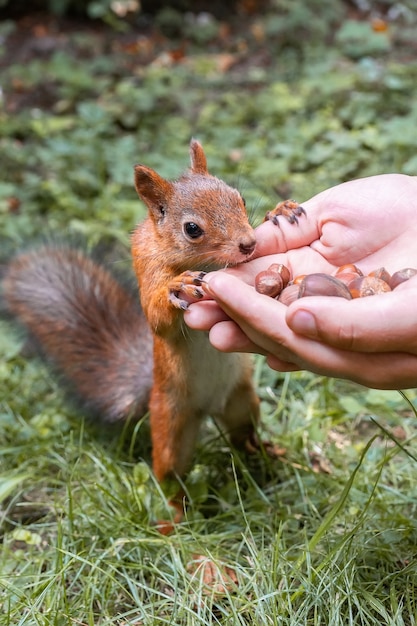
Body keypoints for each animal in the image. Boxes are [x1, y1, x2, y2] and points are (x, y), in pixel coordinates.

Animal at [1, 139, 304, 524]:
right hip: (170, 424)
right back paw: (173, 520)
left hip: (242, 403)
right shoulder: (147, 267)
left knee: (241, 436)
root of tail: (208, 408)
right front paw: (179, 286)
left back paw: (266, 451)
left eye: (241, 199)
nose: (249, 244)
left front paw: (279, 210)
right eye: (192, 229)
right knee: (171, 477)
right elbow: (158, 316)